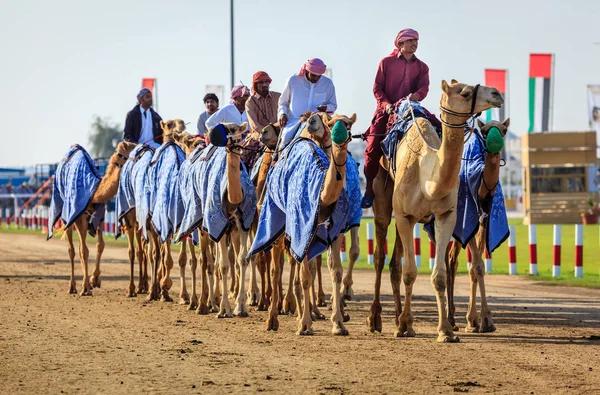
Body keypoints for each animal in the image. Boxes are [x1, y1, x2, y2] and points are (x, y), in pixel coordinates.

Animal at [48, 141, 137, 296]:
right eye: (133, 149)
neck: (94, 192)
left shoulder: (99, 216)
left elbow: (100, 245)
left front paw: (94, 280)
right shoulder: (77, 216)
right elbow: (84, 250)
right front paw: (85, 287)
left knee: (80, 246)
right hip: (69, 216)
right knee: (72, 249)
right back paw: (72, 287)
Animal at [448, 118, 508, 334]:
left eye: (504, 130)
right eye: (483, 132)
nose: (495, 143)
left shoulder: (484, 220)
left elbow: (478, 266)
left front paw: (480, 320)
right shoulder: (468, 219)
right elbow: (476, 265)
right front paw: (479, 319)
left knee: (452, 260)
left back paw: (453, 319)